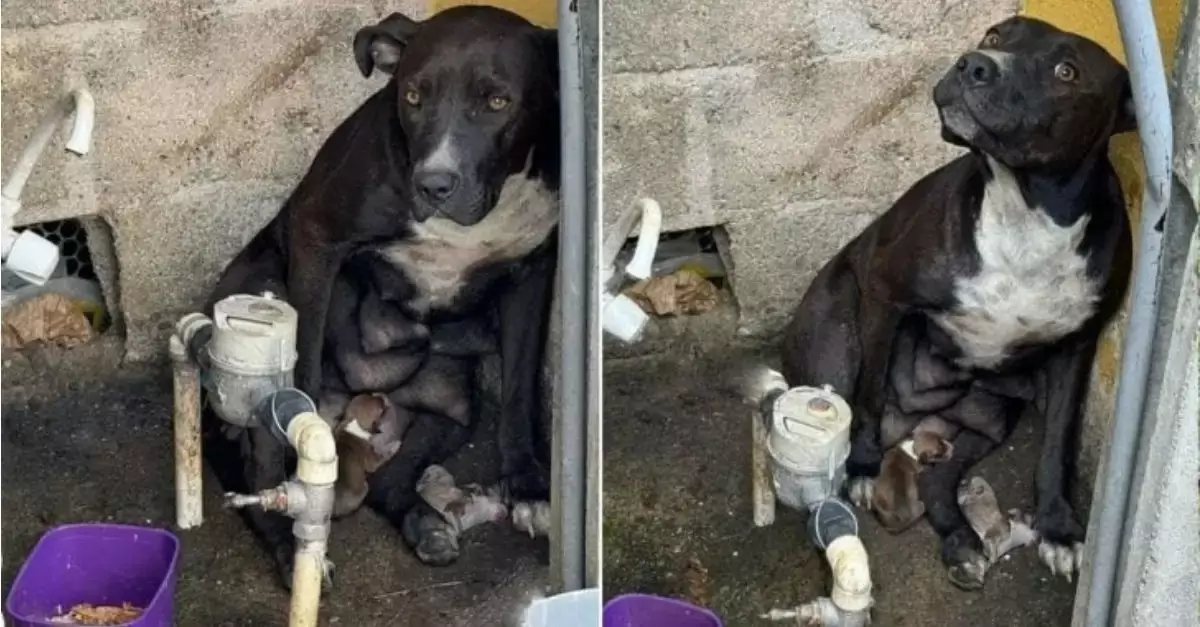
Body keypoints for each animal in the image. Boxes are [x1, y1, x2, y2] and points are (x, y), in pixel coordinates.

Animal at [204, 6, 559, 586]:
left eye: (497, 101)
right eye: (413, 96)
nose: (434, 184)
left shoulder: (534, 271)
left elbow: (520, 391)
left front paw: (528, 485)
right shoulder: (316, 236)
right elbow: (301, 372)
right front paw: (299, 479)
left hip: (449, 405)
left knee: (390, 481)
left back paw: (426, 523)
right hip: (259, 296)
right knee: (259, 468)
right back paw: (289, 540)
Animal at [777, 18, 1132, 586]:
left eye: (1067, 71)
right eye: (995, 35)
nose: (974, 64)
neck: (1024, 213)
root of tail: (913, 420)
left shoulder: (1076, 348)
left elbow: (1058, 445)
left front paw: (1058, 527)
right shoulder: (884, 293)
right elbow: (868, 396)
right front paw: (862, 465)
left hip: (987, 416)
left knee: (937, 480)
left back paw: (962, 543)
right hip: (837, 339)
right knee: (843, 408)